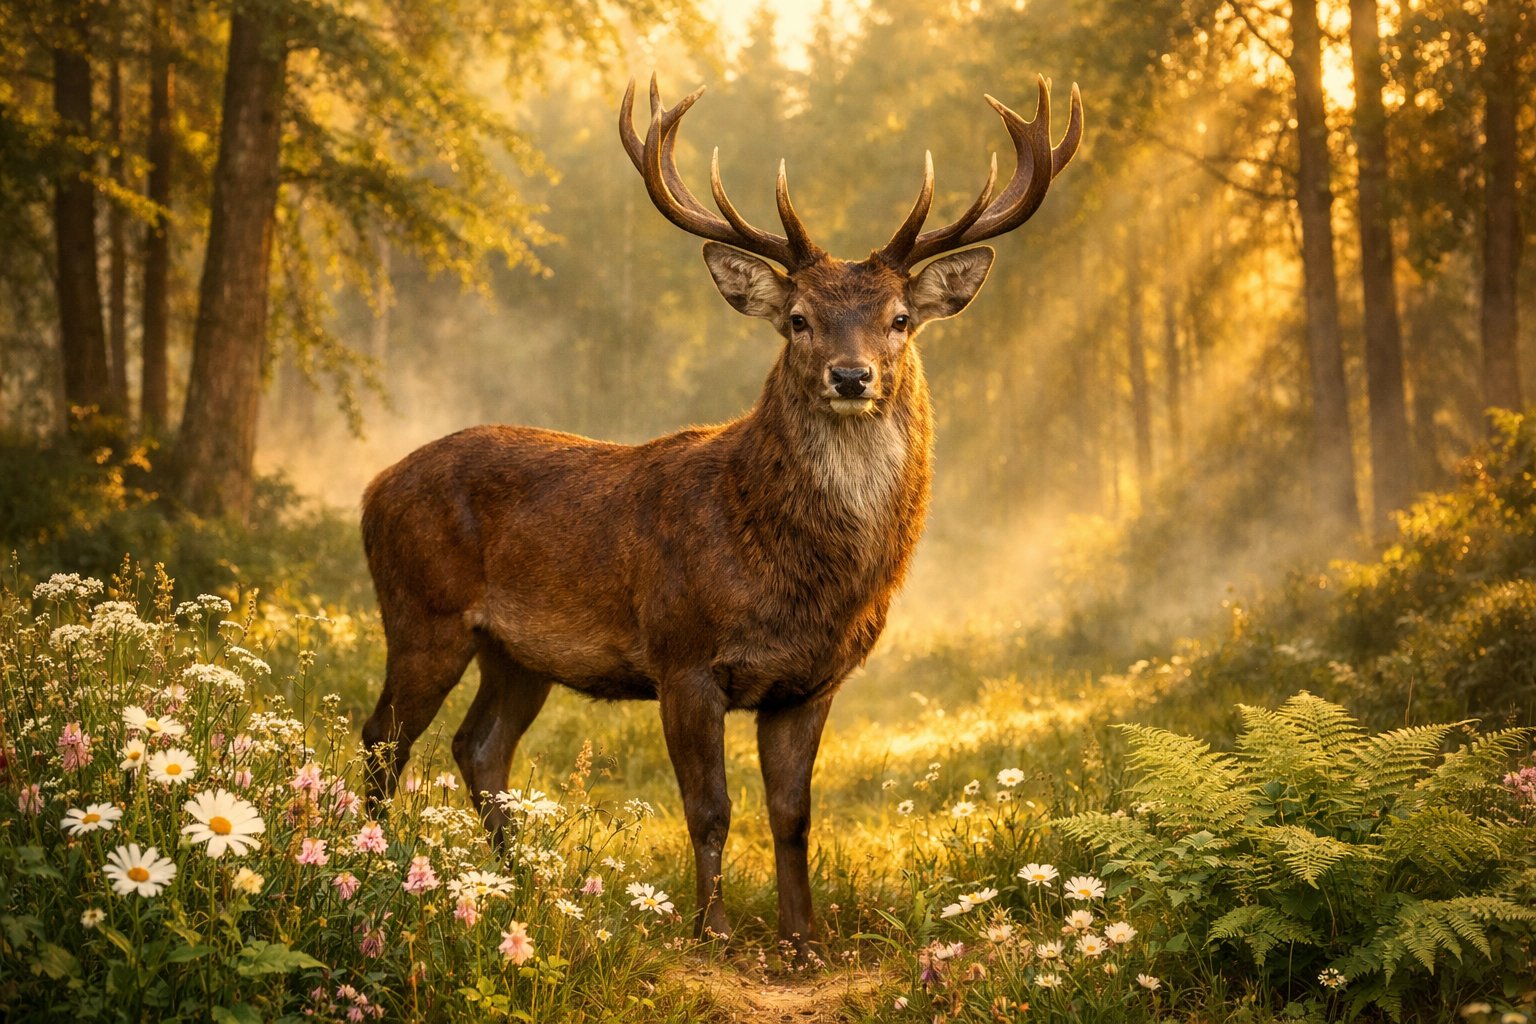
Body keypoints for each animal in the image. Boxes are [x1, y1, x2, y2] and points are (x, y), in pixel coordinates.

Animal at [360, 74, 1082, 952]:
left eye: (901, 320)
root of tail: (372, 487)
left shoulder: (811, 681)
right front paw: (714, 931)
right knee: (383, 739)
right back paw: (367, 862)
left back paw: (522, 883)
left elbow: (793, 815)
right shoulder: (684, 656)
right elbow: (709, 809)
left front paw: (804, 937)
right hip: (421, 611)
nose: (851, 375)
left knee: (480, 748)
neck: (790, 570)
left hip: (517, 653)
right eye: (799, 319)